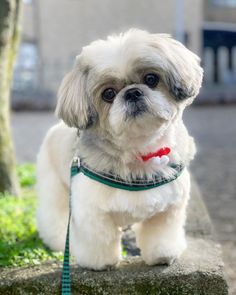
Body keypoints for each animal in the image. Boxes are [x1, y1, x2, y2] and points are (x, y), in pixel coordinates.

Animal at [37, 29, 203, 270]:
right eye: (108, 93)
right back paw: (58, 241)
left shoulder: (168, 210)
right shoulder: (92, 213)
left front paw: (163, 256)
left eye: (151, 79)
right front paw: (100, 264)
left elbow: (161, 235)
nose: (132, 93)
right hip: (55, 190)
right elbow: (99, 240)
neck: (141, 151)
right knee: (53, 217)